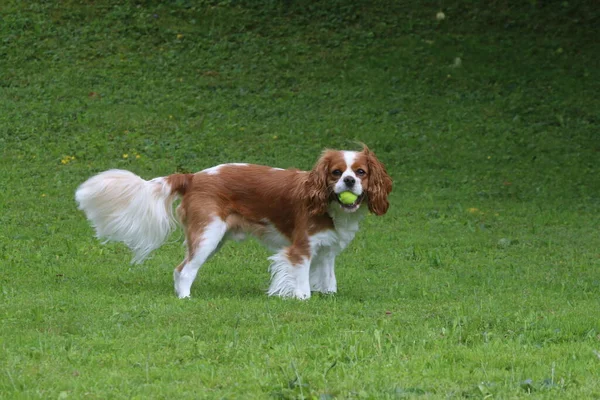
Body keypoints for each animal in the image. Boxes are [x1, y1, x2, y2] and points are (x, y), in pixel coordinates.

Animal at [75, 145, 392, 298]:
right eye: (336, 172)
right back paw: (185, 299)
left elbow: (328, 278)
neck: (328, 204)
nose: (349, 181)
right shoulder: (300, 250)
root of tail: (192, 177)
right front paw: (302, 299)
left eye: (361, 172)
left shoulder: (327, 250)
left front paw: (329, 296)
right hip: (208, 235)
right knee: (185, 271)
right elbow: (301, 280)